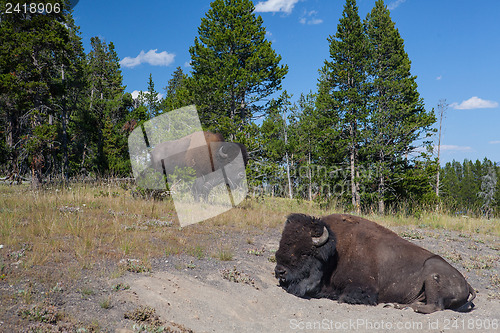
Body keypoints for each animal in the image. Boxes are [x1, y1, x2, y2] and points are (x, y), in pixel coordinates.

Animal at [276, 211, 474, 312]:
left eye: (305, 253)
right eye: (281, 243)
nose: (279, 271)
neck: (335, 252)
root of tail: (466, 283)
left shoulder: (363, 289)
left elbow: (342, 296)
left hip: (433, 276)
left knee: (435, 306)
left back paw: (399, 306)